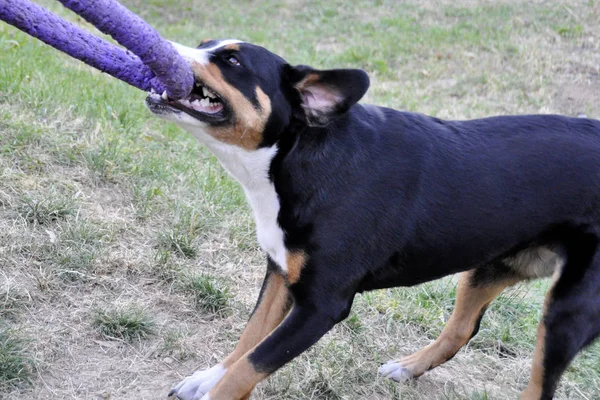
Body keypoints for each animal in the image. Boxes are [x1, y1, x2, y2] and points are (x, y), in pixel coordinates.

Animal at [146, 38, 600, 400]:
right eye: (205, 45)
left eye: (233, 61)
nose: (163, 49)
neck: (303, 157)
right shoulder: (280, 273)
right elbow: (249, 338)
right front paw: (206, 377)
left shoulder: (321, 307)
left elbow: (251, 364)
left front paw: (215, 389)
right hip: (492, 265)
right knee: (463, 330)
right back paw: (408, 367)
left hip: (567, 311)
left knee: (540, 386)